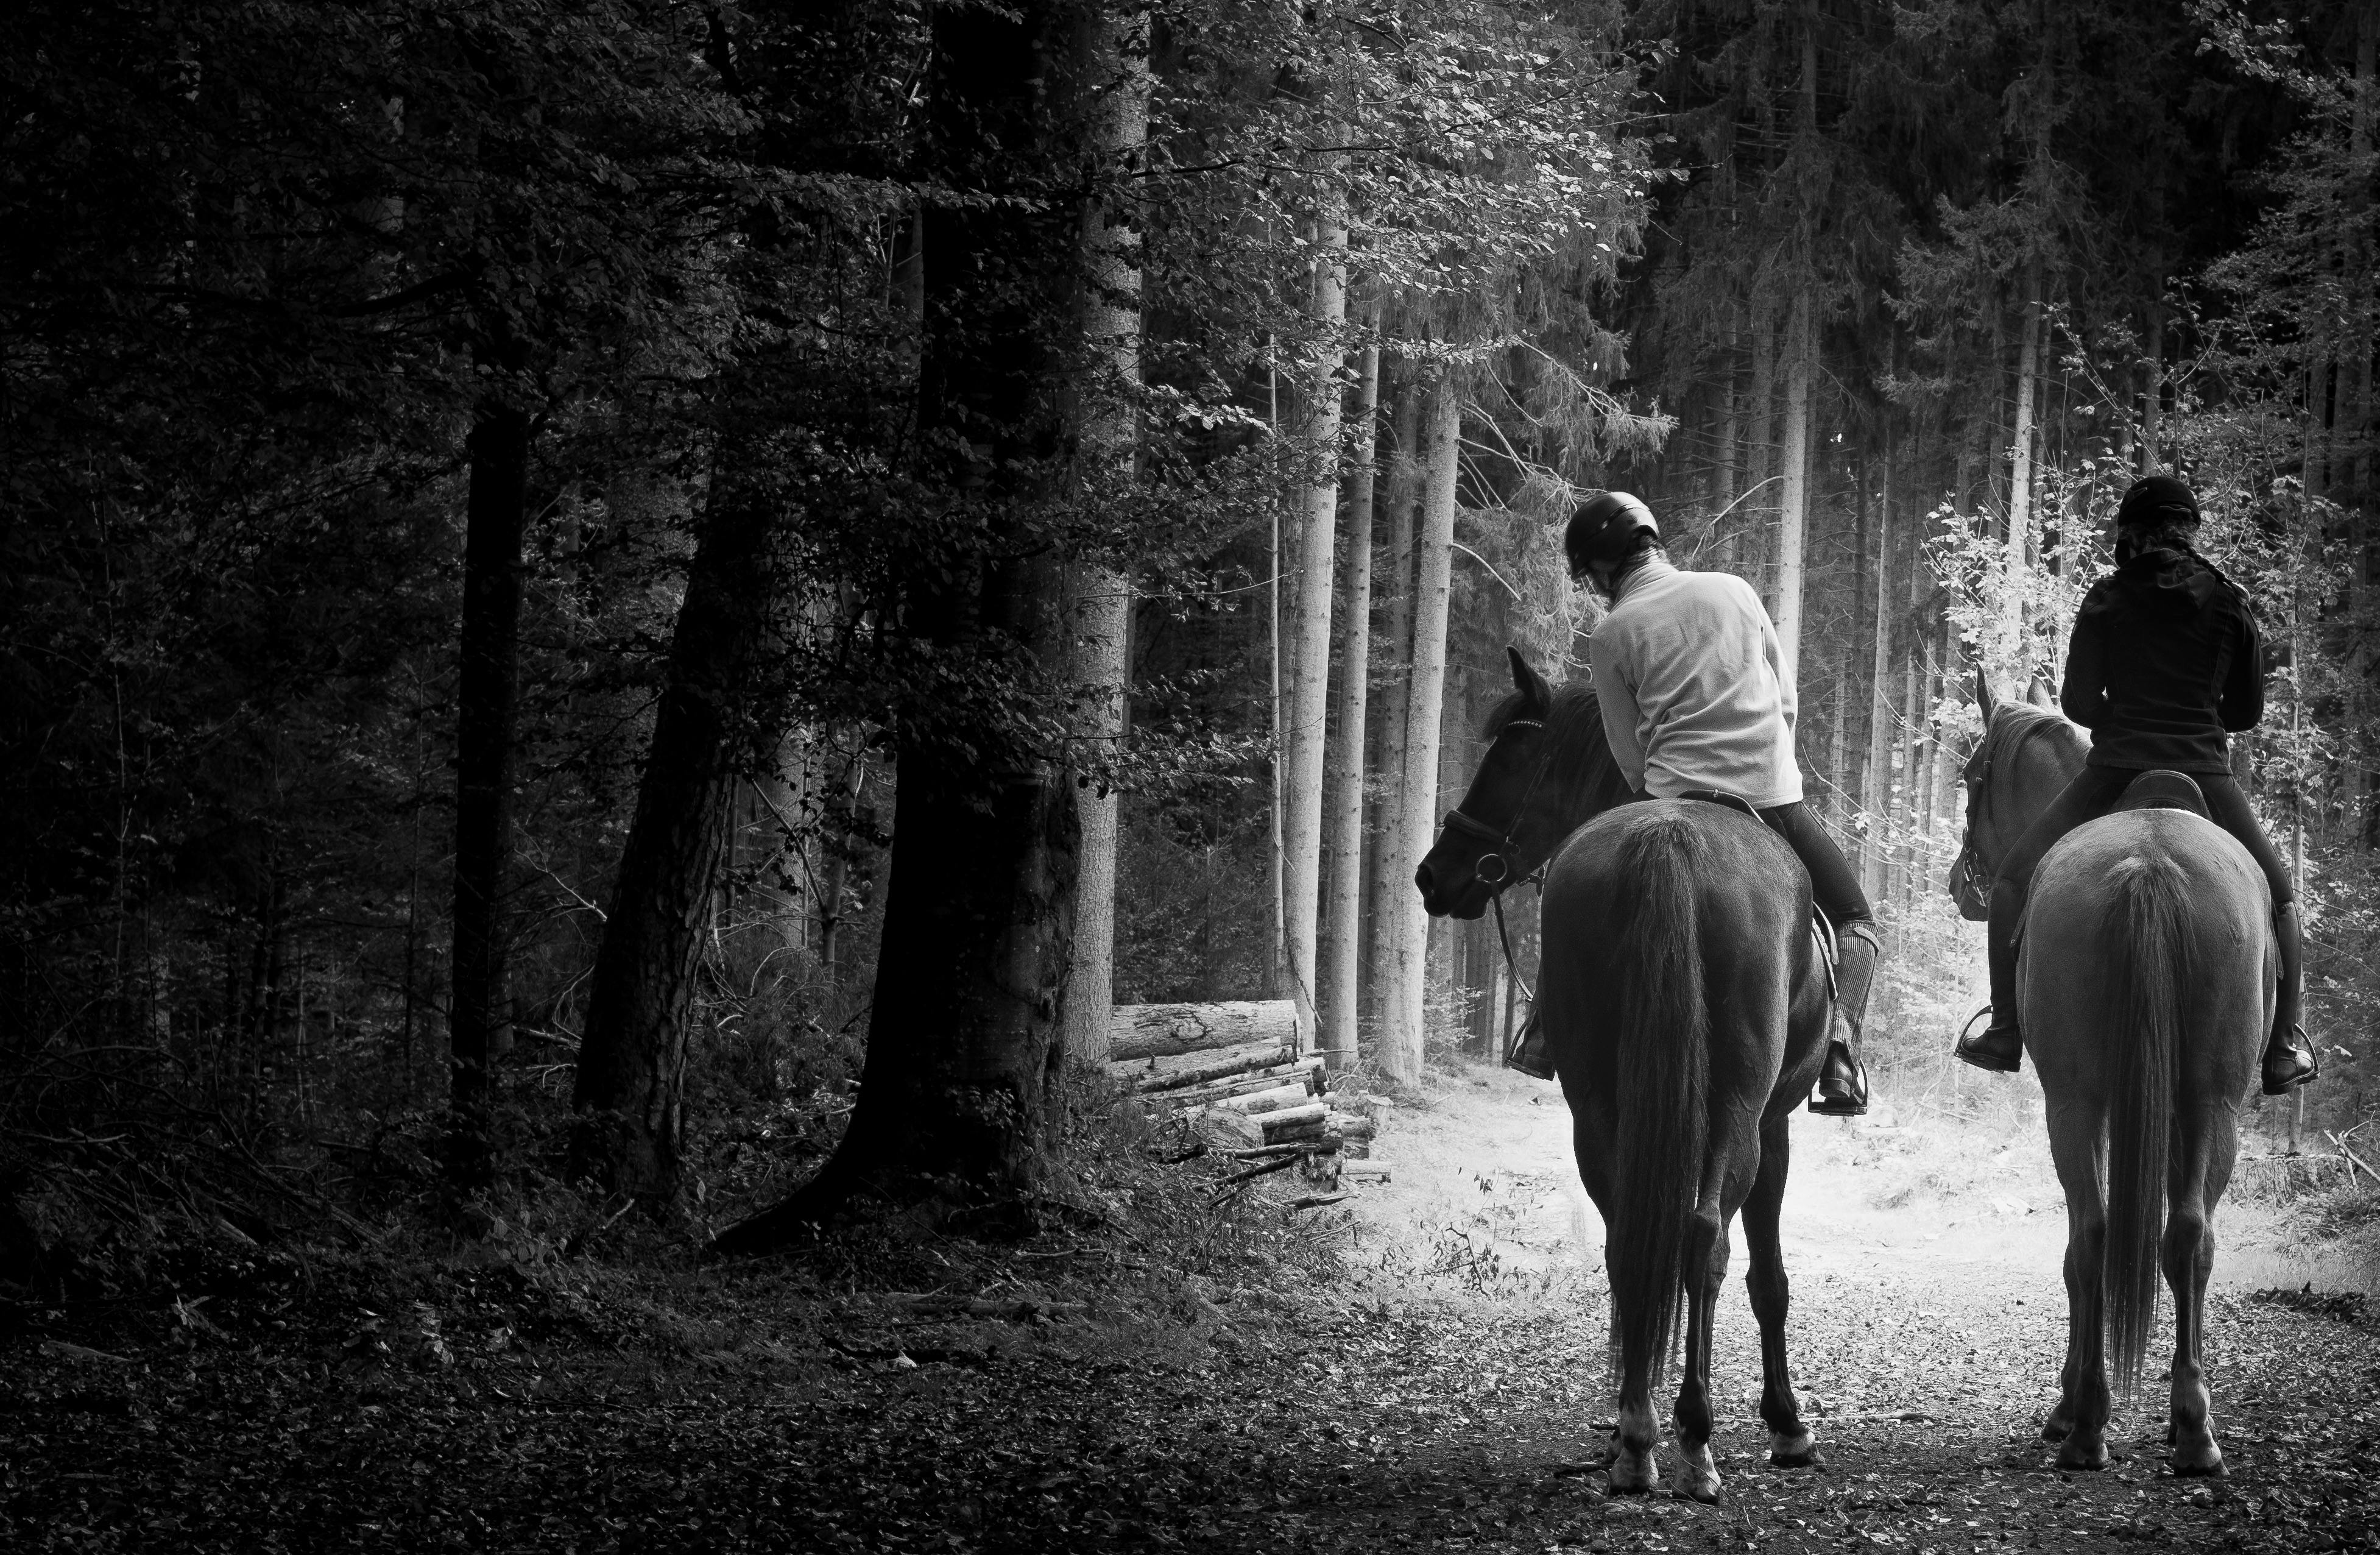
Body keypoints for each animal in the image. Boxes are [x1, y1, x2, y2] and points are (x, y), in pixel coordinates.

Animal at [1416, 648, 1835, 1502]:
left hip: (1596, 1102)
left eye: (1505, 759)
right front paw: (1787, 1424)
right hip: (1735, 1105)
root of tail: (1669, 835)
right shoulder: (1774, 1121)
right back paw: (1692, 1437)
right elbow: (1768, 1276)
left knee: (1626, 1239)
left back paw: (1635, 1436)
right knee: (1703, 1238)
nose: (1433, 875)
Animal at [1956, 675, 2272, 1474]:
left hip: (2074, 1104)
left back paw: (2090, 1421)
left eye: (1971, 777)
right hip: (2208, 1102)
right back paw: (2189, 1427)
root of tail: (2148, 864)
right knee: (2184, 1233)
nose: (1959, 884)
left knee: (2094, 1234)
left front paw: (2064, 1401)